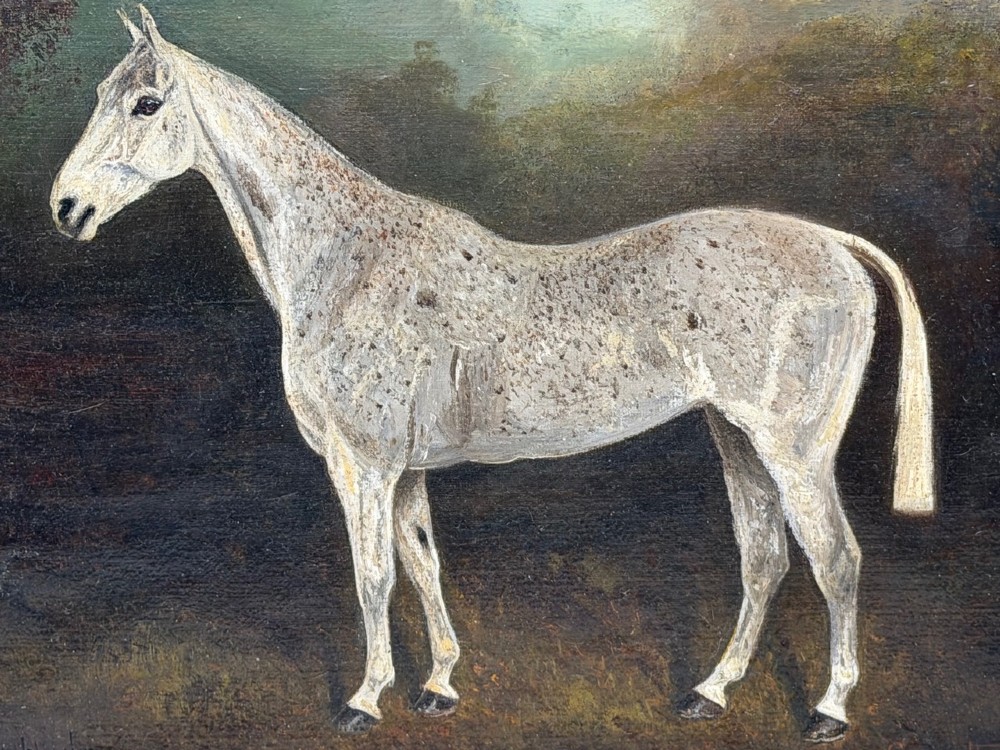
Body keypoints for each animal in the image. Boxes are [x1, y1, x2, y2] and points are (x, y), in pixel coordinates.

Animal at [50, 7, 935, 743]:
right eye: (99, 94)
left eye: (147, 104)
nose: (66, 208)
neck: (348, 258)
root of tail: (834, 244)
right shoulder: (402, 470)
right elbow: (422, 563)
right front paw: (439, 684)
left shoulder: (363, 464)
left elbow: (373, 577)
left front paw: (365, 699)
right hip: (737, 438)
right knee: (765, 561)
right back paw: (709, 692)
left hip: (794, 449)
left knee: (836, 561)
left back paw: (828, 710)